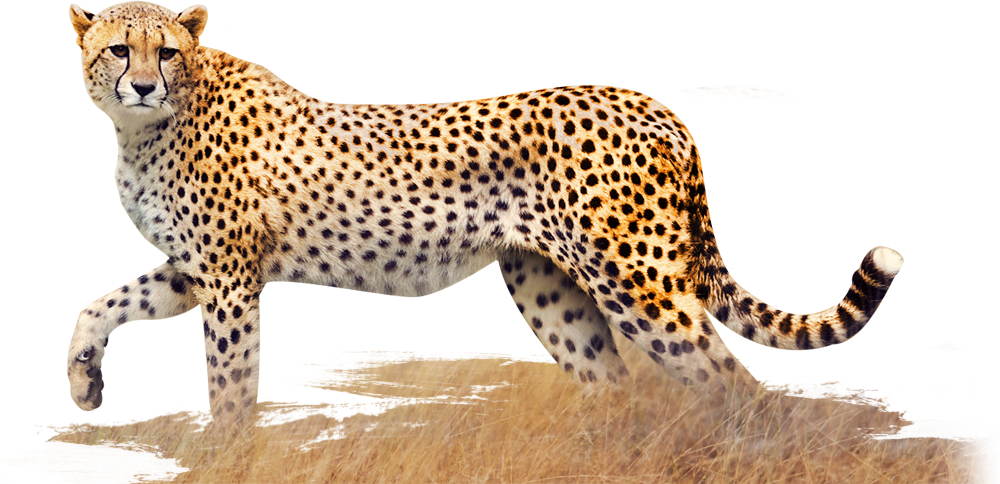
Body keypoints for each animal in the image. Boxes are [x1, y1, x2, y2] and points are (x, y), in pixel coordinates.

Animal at [67, 1, 903, 422]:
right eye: (118, 49)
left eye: (165, 52)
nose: (141, 84)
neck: (150, 126)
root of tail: (651, 104)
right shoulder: (194, 270)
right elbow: (100, 307)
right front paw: (83, 382)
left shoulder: (229, 277)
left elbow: (228, 379)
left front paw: (227, 446)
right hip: (547, 286)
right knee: (614, 384)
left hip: (637, 280)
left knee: (725, 376)